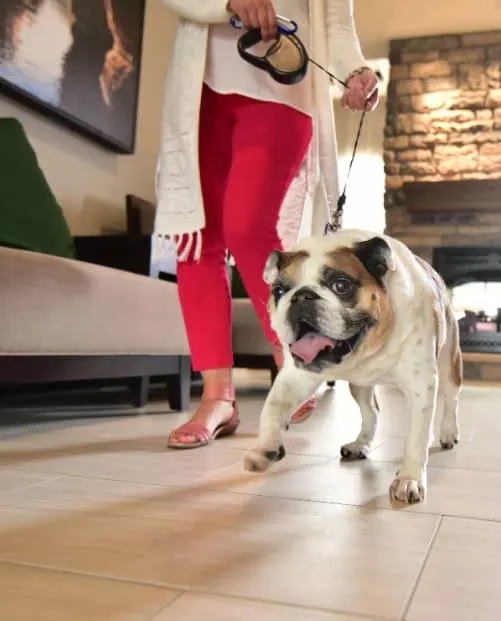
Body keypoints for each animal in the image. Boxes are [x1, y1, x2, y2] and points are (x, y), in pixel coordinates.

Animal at [242, 228, 460, 504]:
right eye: (279, 290)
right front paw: (265, 448)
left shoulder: (421, 385)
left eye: (341, 285)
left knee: (451, 400)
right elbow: (272, 408)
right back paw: (360, 444)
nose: (302, 296)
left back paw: (448, 433)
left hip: (450, 365)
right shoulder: (294, 378)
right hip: (360, 386)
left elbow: (416, 437)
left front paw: (408, 478)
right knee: (370, 412)